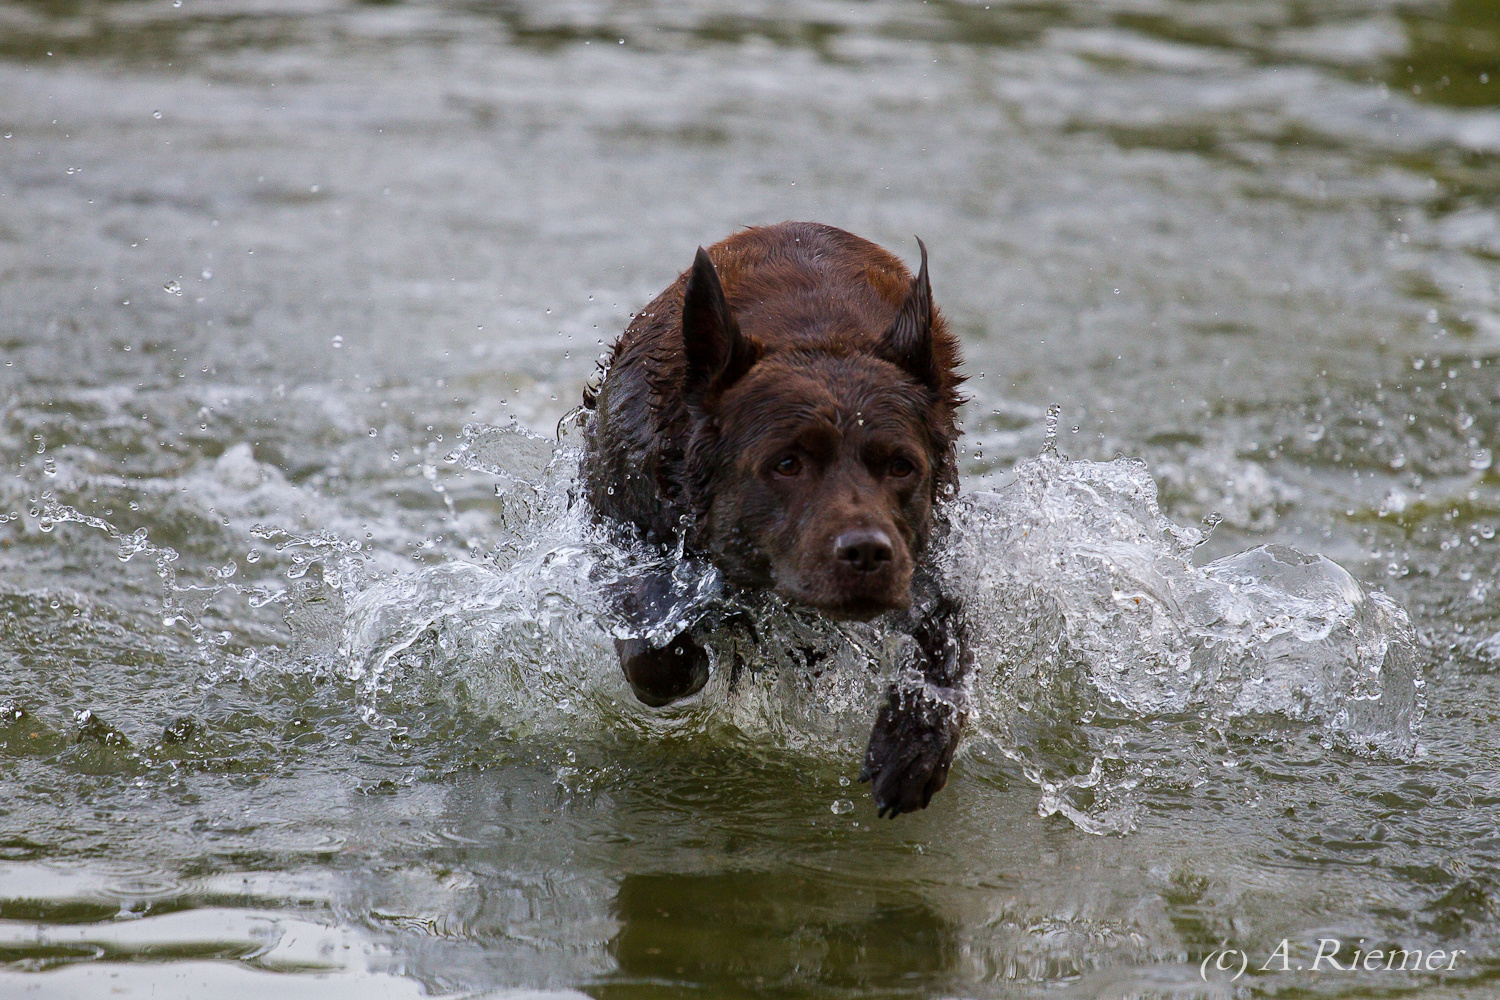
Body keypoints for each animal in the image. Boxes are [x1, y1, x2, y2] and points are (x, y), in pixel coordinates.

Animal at [579, 223, 966, 815]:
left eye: (902, 465)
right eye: (787, 463)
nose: (867, 552)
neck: (815, 337)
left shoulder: (925, 555)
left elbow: (947, 637)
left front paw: (912, 748)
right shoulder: (627, 527)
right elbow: (652, 647)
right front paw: (689, 654)